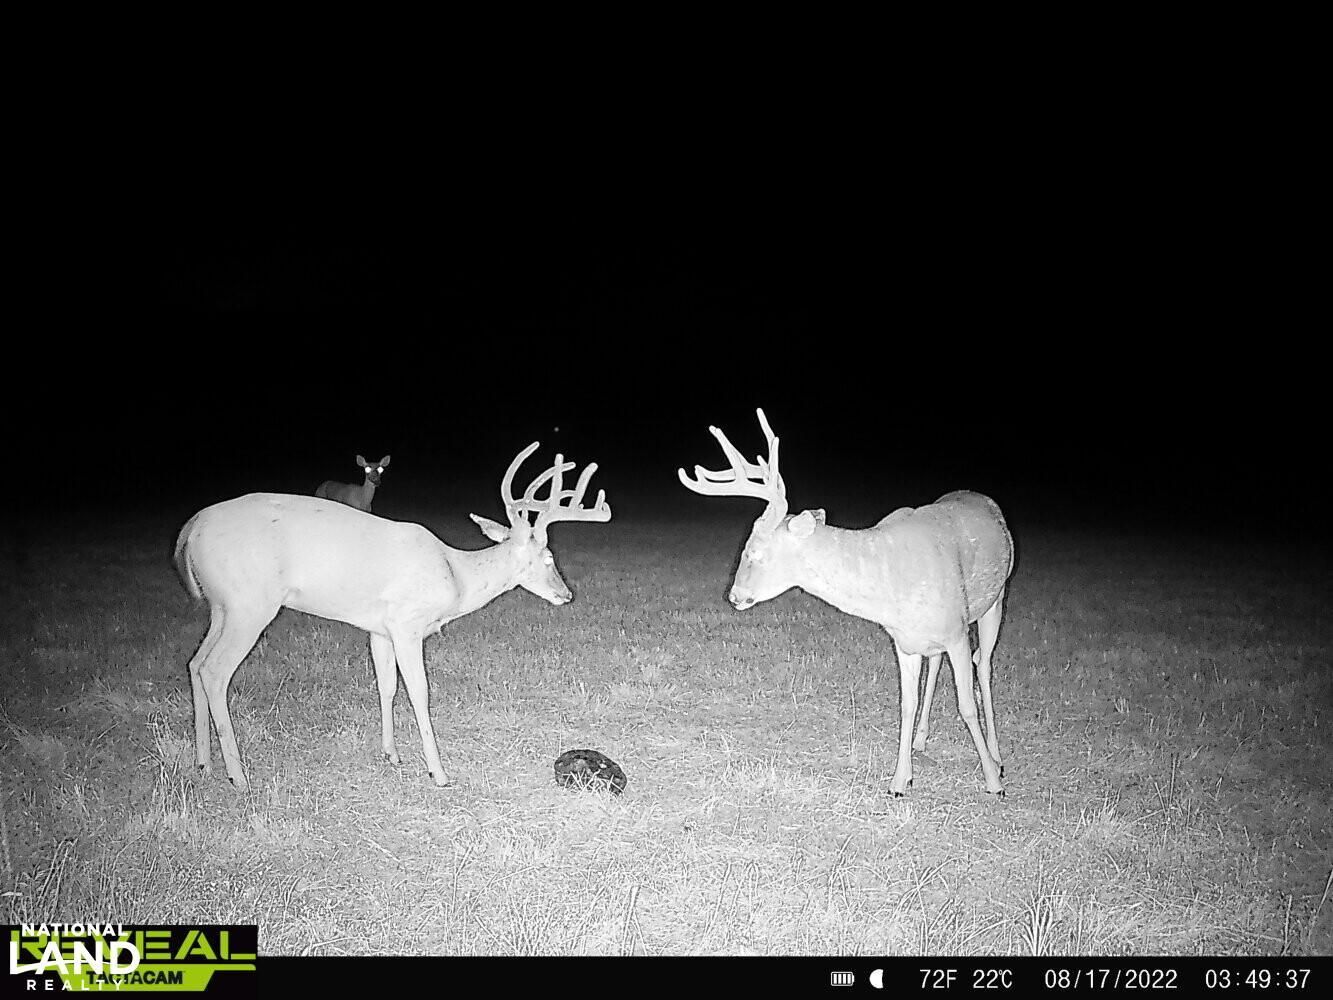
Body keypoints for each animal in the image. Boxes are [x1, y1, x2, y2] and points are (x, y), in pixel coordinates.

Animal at [174, 442, 611, 791]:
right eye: (549, 557)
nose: (566, 594)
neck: (456, 576)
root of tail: (190, 529)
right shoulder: (406, 623)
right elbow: (419, 691)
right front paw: (438, 772)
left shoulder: (378, 629)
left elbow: (386, 686)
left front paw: (391, 753)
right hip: (251, 603)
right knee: (214, 670)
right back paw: (238, 776)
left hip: (222, 606)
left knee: (194, 662)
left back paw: (203, 762)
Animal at [679, 409, 1014, 797]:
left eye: (755, 552)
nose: (734, 595)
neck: (890, 589)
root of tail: (987, 501)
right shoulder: (904, 641)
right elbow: (907, 703)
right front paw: (900, 781)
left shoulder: (957, 631)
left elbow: (966, 705)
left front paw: (991, 780)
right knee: (937, 665)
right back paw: (922, 741)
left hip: (995, 599)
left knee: (983, 665)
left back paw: (997, 757)